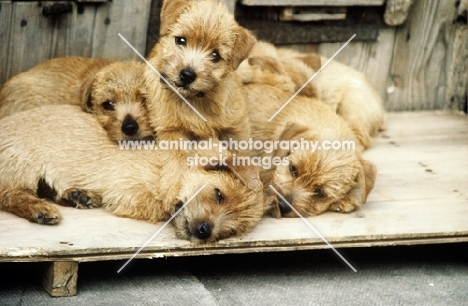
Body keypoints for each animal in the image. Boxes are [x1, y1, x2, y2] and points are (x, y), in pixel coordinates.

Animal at [0, 106, 264, 243]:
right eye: (219, 194)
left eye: (232, 231)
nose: (204, 231)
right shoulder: (127, 190)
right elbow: (158, 206)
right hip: (23, 162)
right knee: (9, 195)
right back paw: (40, 209)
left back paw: (76, 196)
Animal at [145, 0, 258, 143]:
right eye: (180, 40)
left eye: (215, 55)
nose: (187, 75)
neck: (193, 100)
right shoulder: (170, 131)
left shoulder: (237, 129)